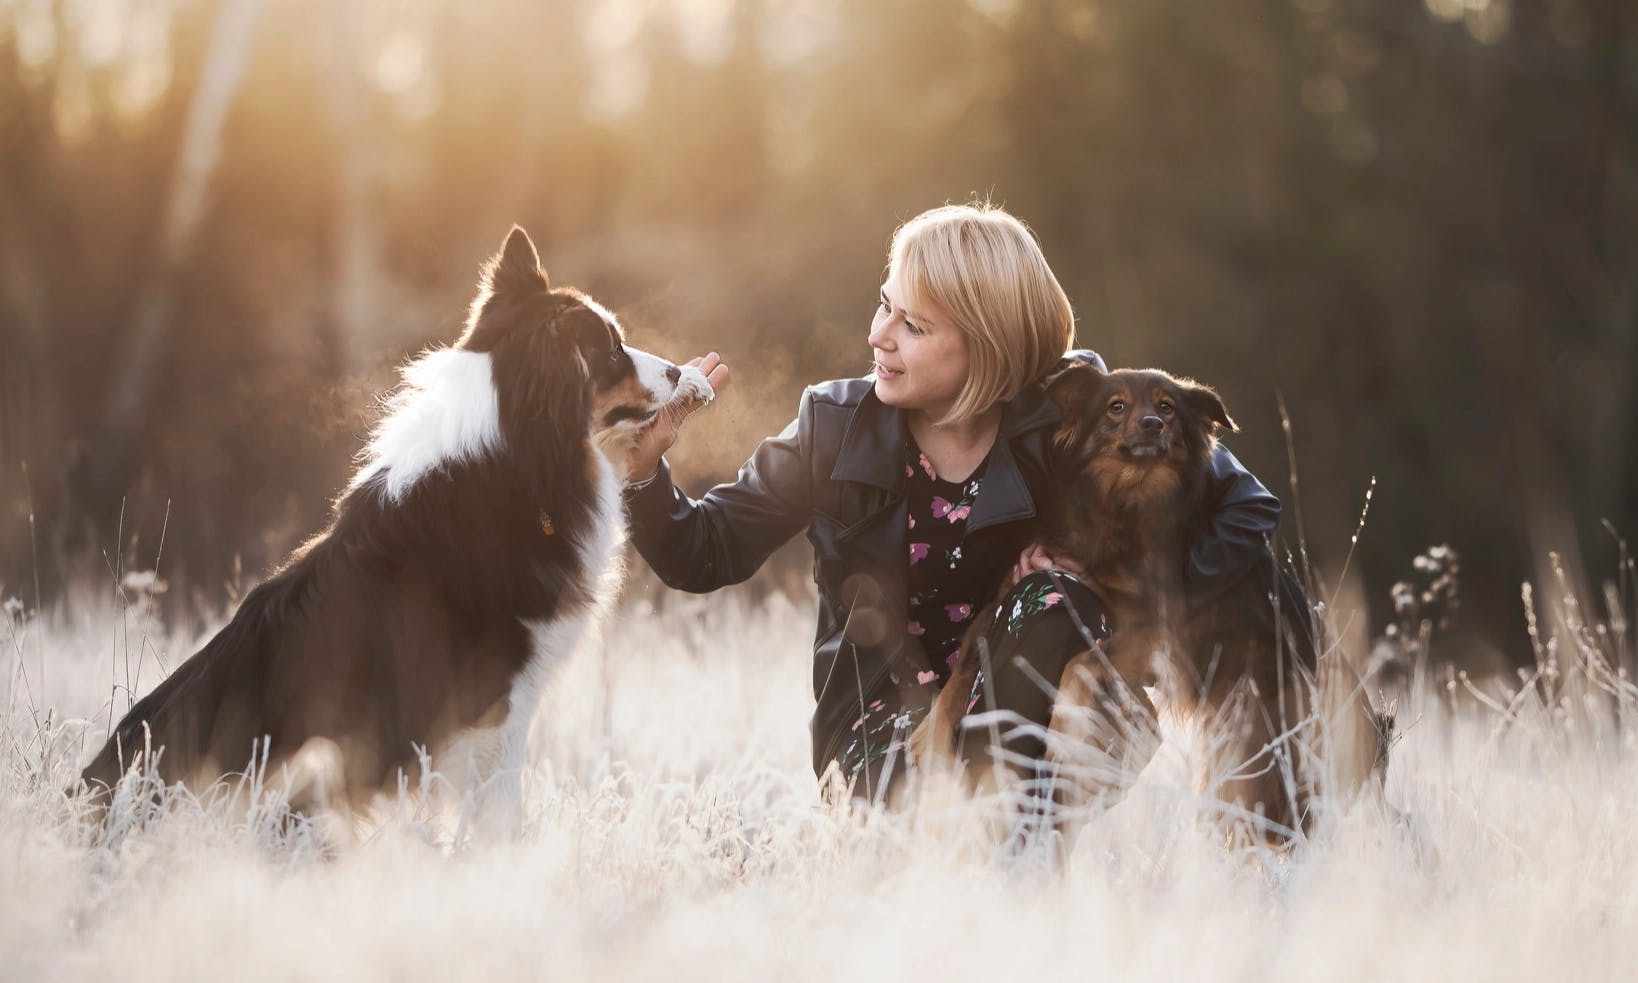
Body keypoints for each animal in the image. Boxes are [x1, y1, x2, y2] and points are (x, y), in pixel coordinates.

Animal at [917, 365, 1375, 838]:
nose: (1152, 424)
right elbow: (969, 653)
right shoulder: (1029, 577)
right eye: (1115, 406)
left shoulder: (1156, 633)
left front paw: (1066, 729)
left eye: (1167, 407)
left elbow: (1080, 665)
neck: (1125, 501)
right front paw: (928, 734)